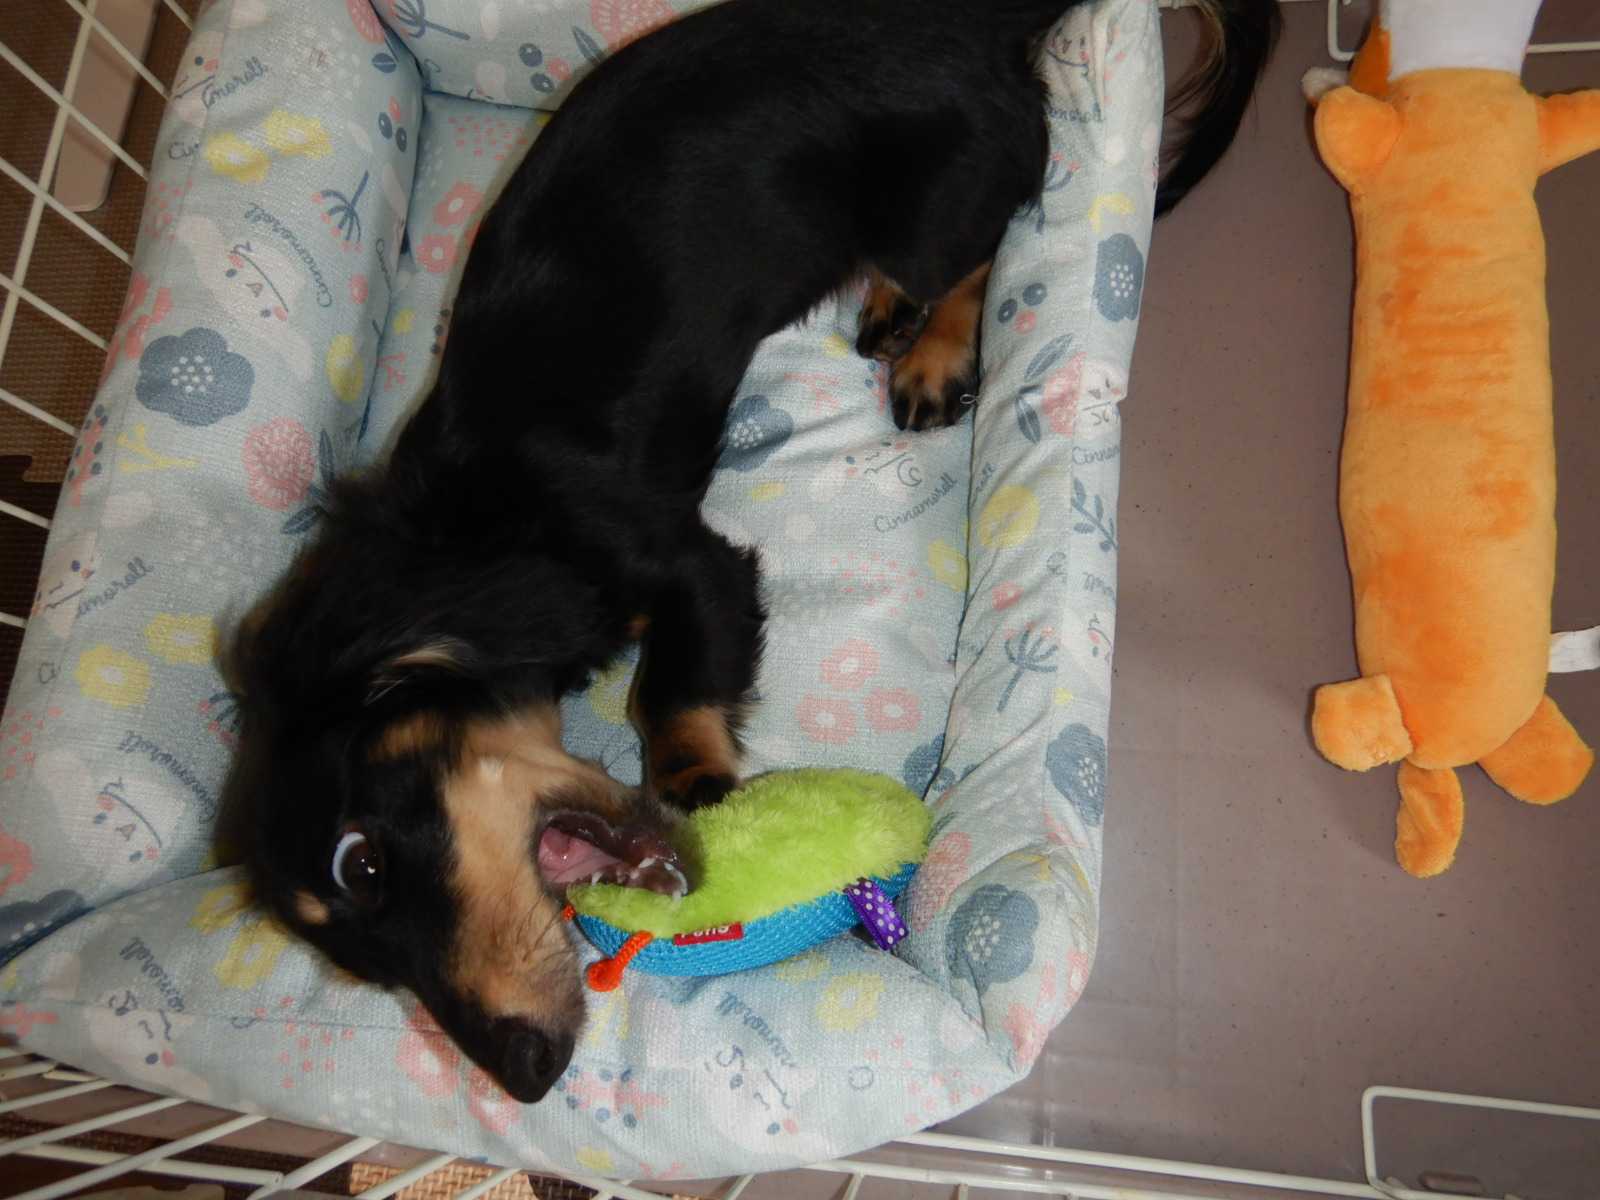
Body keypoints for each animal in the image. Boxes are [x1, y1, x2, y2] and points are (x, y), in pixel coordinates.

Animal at [224, 0, 1279, 1103]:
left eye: (361, 863)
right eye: (346, 957)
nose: (525, 1075)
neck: (471, 531)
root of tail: (957, 16)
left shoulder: (694, 567)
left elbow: (664, 694)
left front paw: (701, 785)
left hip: (929, 209)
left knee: (973, 255)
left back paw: (933, 351)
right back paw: (886, 312)